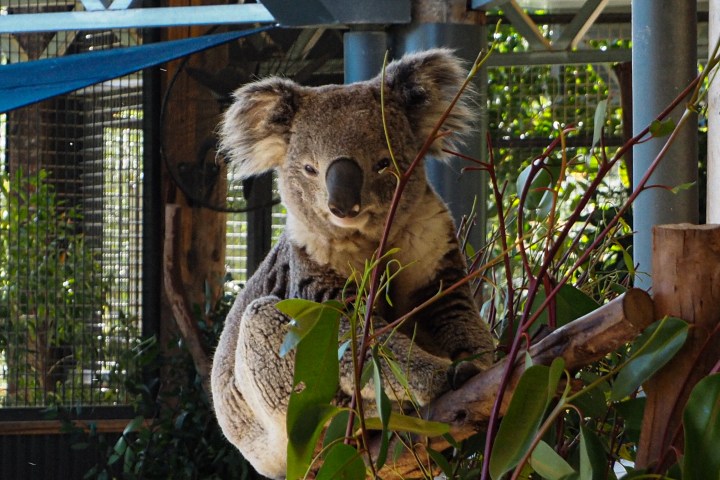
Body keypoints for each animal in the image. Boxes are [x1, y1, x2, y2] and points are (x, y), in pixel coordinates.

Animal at [211, 48, 494, 479]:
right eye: (310, 168)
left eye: (382, 163)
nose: (341, 206)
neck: (371, 239)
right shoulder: (314, 268)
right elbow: (357, 335)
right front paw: (444, 375)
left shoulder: (431, 243)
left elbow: (452, 310)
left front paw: (483, 367)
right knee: (265, 318)